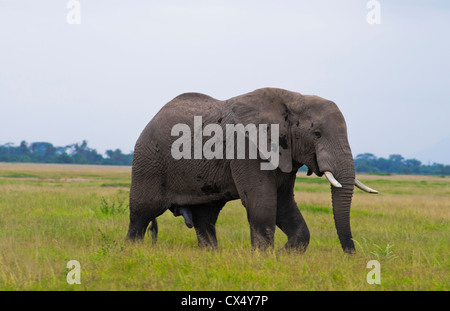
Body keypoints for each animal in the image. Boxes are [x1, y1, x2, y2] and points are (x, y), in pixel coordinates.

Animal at [125, 89, 376, 255]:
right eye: (317, 134)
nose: (351, 255)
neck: (293, 99)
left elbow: (284, 203)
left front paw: (283, 255)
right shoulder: (245, 147)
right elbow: (263, 202)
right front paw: (264, 258)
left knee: (205, 217)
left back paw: (211, 256)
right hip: (148, 160)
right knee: (142, 212)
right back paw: (132, 252)